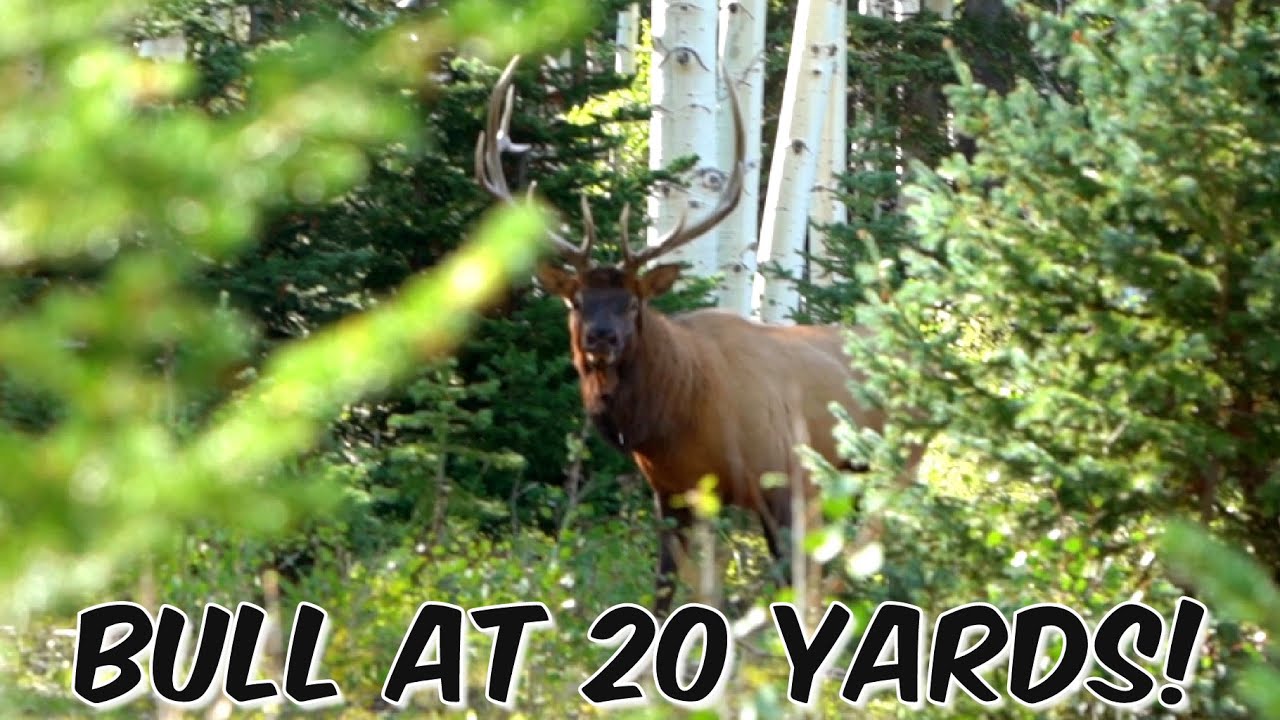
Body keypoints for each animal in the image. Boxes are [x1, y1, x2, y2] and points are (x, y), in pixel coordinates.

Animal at [474, 56, 920, 615]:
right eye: (576, 301)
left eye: (633, 302)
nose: (601, 338)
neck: (679, 417)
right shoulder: (671, 494)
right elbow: (666, 587)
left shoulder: (781, 476)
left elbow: (786, 582)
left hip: (896, 464)